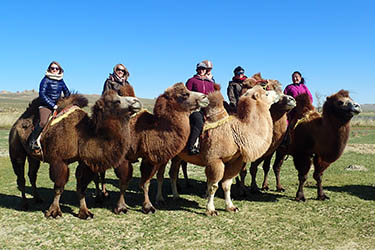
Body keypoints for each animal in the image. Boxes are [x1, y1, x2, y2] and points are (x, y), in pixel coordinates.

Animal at [8, 85, 142, 218]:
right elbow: (59, 187)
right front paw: (54, 212)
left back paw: (38, 198)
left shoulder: (84, 161)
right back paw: (24, 204)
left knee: (32, 175)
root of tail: (16, 123)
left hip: (33, 157)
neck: (82, 135)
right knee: (21, 177)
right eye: (117, 101)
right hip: (16, 152)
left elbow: (81, 187)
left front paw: (85, 212)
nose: (137, 102)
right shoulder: (59, 161)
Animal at [162, 85, 282, 215]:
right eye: (266, 94)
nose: (278, 94)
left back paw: (176, 195)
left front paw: (231, 207)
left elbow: (227, 185)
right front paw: (211, 210)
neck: (235, 133)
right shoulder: (215, 160)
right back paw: (166, 197)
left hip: (178, 156)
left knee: (173, 173)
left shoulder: (234, 161)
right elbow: (213, 186)